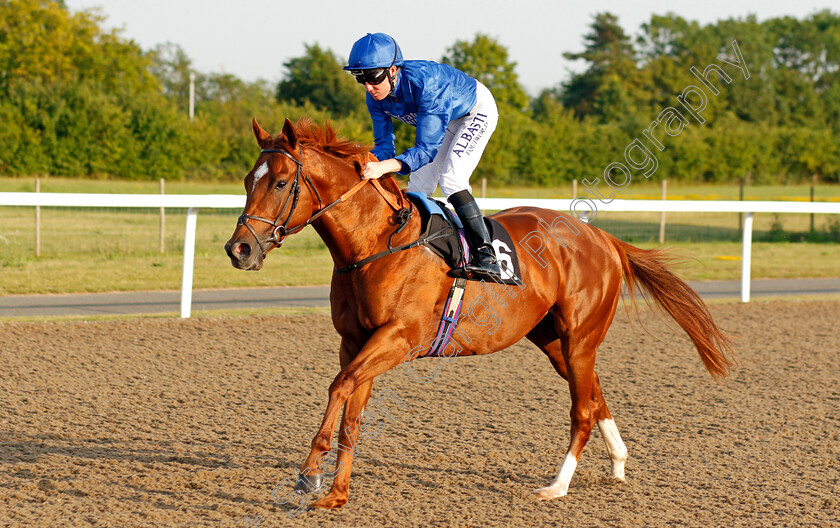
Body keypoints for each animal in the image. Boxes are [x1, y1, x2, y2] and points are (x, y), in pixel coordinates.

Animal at [225, 117, 736, 510]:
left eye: (281, 182)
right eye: (248, 180)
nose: (239, 249)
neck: (374, 245)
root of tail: (602, 238)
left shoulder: (400, 338)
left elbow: (340, 387)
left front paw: (309, 474)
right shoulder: (356, 341)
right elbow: (351, 407)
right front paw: (336, 493)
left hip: (580, 336)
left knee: (581, 410)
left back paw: (557, 486)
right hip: (553, 340)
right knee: (593, 394)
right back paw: (618, 461)